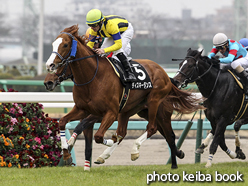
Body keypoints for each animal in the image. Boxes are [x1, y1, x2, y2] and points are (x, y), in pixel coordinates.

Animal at [44, 25, 202, 169]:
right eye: (53, 44)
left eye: (65, 45)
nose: (48, 80)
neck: (92, 77)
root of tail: (165, 74)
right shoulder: (83, 109)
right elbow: (63, 122)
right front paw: (67, 153)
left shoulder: (110, 112)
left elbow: (98, 136)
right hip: (134, 111)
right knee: (148, 133)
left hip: (155, 103)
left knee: (154, 129)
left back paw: (137, 151)